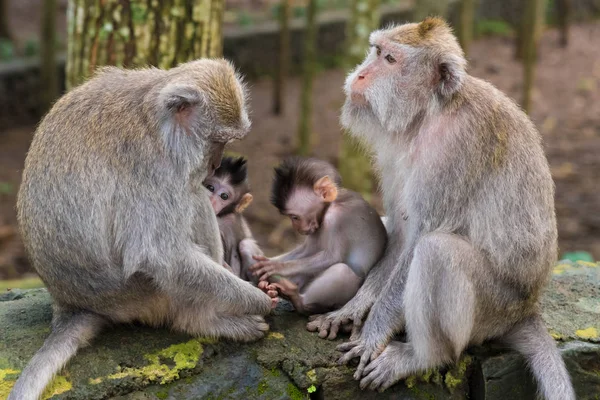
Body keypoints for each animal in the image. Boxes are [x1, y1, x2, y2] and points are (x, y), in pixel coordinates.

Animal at [9, 58, 272, 400]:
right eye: (217, 140)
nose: (214, 165)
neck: (155, 119)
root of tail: (70, 303)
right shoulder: (152, 166)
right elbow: (161, 256)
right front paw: (260, 299)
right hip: (140, 295)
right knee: (191, 197)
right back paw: (204, 319)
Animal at [308, 17, 576, 398]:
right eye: (376, 51)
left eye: (390, 59)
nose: (359, 75)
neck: (429, 113)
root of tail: (527, 308)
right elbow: (402, 232)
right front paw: (353, 307)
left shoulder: (455, 148)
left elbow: (421, 236)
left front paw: (373, 334)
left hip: (493, 308)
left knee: (437, 250)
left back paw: (421, 357)